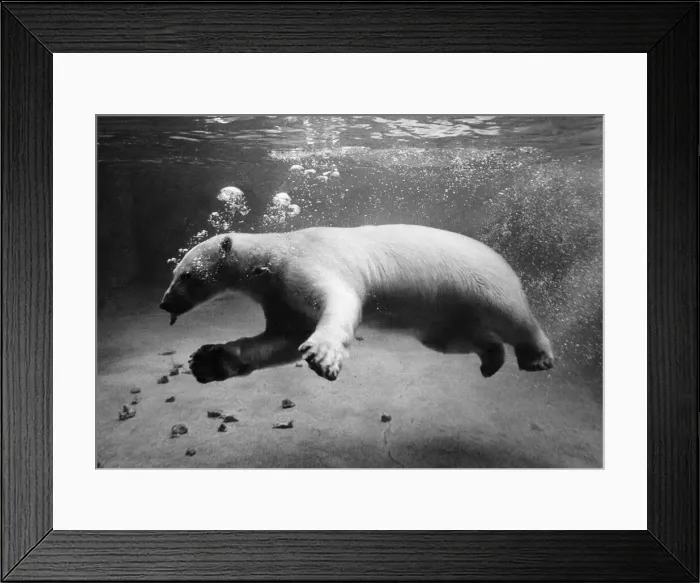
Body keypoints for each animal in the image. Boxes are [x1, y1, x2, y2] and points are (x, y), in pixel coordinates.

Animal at [159, 224, 554, 384]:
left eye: (186, 275)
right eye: (174, 271)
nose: (164, 303)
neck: (276, 252)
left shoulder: (306, 264)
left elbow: (338, 301)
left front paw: (322, 355)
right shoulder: (279, 295)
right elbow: (282, 338)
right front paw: (208, 360)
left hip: (482, 282)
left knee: (512, 316)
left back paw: (536, 357)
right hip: (443, 313)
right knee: (453, 338)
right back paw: (491, 359)